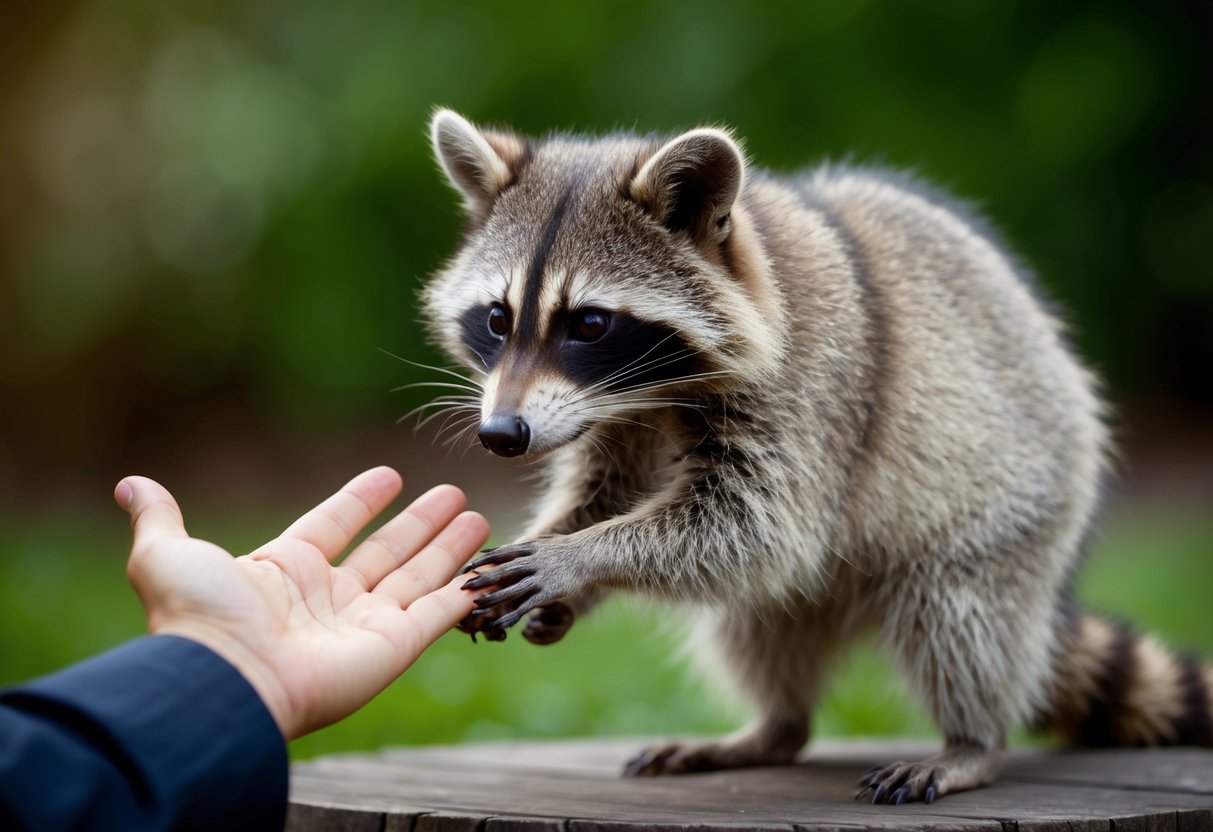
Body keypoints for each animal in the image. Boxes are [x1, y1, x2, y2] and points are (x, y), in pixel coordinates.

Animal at [420, 109, 1213, 803]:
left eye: (588, 324)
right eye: (498, 319)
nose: (501, 435)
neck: (654, 389)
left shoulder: (810, 391)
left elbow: (752, 528)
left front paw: (579, 558)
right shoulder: (611, 415)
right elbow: (610, 493)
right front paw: (562, 543)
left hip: (1027, 488)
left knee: (958, 613)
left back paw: (972, 742)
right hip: (814, 592)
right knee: (755, 631)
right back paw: (773, 728)